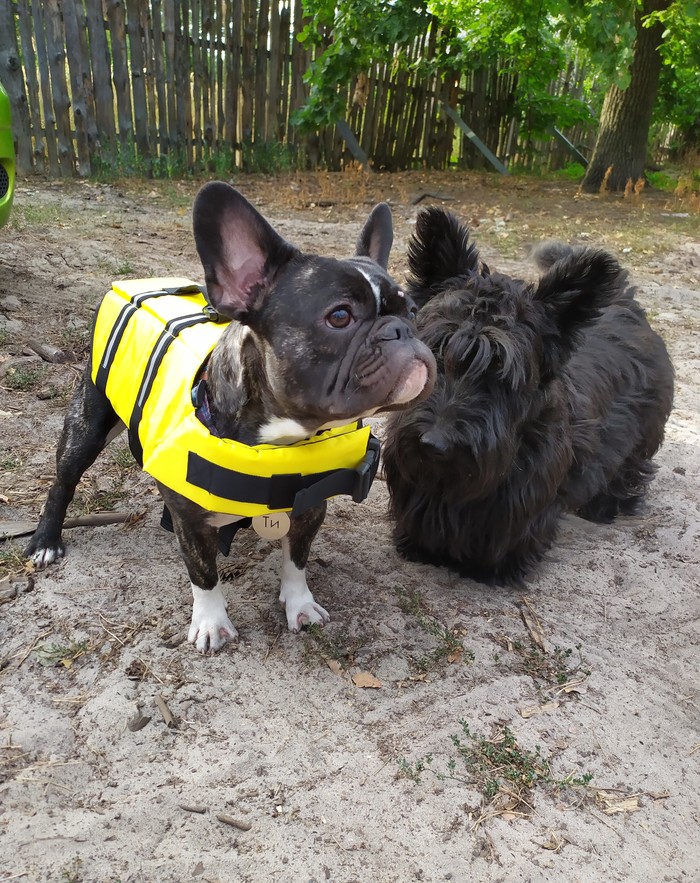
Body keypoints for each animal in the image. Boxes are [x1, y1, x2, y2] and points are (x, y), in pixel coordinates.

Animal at [380, 207, 676, 588]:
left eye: (501, 373)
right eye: (436, 349)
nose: (434, 444)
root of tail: (627, 306)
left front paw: (494, 568)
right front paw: (416, 545)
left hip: (640, 440)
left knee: (630, 469)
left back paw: (608, 506)